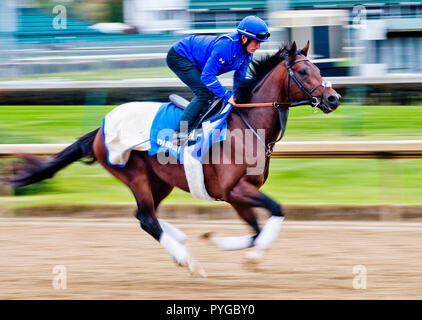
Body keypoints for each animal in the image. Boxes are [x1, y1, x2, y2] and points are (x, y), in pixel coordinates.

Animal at [5, 41, 340, 278]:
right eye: (304, 72)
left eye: (318, 68)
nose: (334, 98)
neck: (248, 124)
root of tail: (100, 128)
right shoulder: (235, 189)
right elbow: (276, 211)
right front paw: (250, 255)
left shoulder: (237, 195)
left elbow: (256, 230)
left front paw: (221, 242)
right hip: (135, 175)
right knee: (146, 218)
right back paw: (188, 261)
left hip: (160, 181)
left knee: (144, 213)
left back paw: (179, 239)